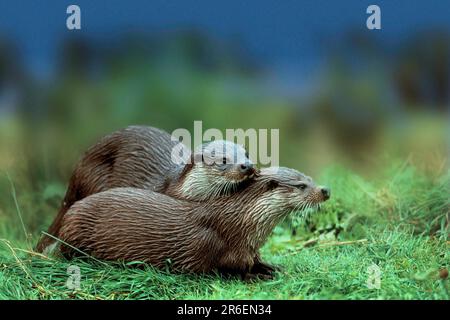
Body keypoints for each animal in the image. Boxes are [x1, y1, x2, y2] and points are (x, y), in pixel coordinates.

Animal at [36, 125, 253, 252]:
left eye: (247, 154)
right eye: (223, 160)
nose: (247, 166)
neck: (179, 189)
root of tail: (77, 172)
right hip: (95, 181)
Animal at [58, 166, 328, 278]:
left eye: (310, 178)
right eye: (301, 186)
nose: (325, 190)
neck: (239, 224)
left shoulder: (250, 250)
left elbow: (258, 262)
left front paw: (273, 268)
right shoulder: (218, 249)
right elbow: (229, 270)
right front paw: (257, 276)